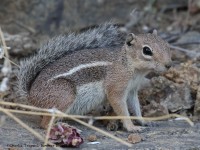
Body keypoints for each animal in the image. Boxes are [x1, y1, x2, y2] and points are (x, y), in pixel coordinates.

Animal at [18, 23, 171, 131]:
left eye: (166, 44)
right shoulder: (116, 87)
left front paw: (144, 121)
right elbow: (121, 107)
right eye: (147, 50)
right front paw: (131, 127)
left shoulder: (132, 90)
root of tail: (31, 96)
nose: (168, 65)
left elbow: (135, 107)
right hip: (65, 93)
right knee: (44, 124)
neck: (128, 64)